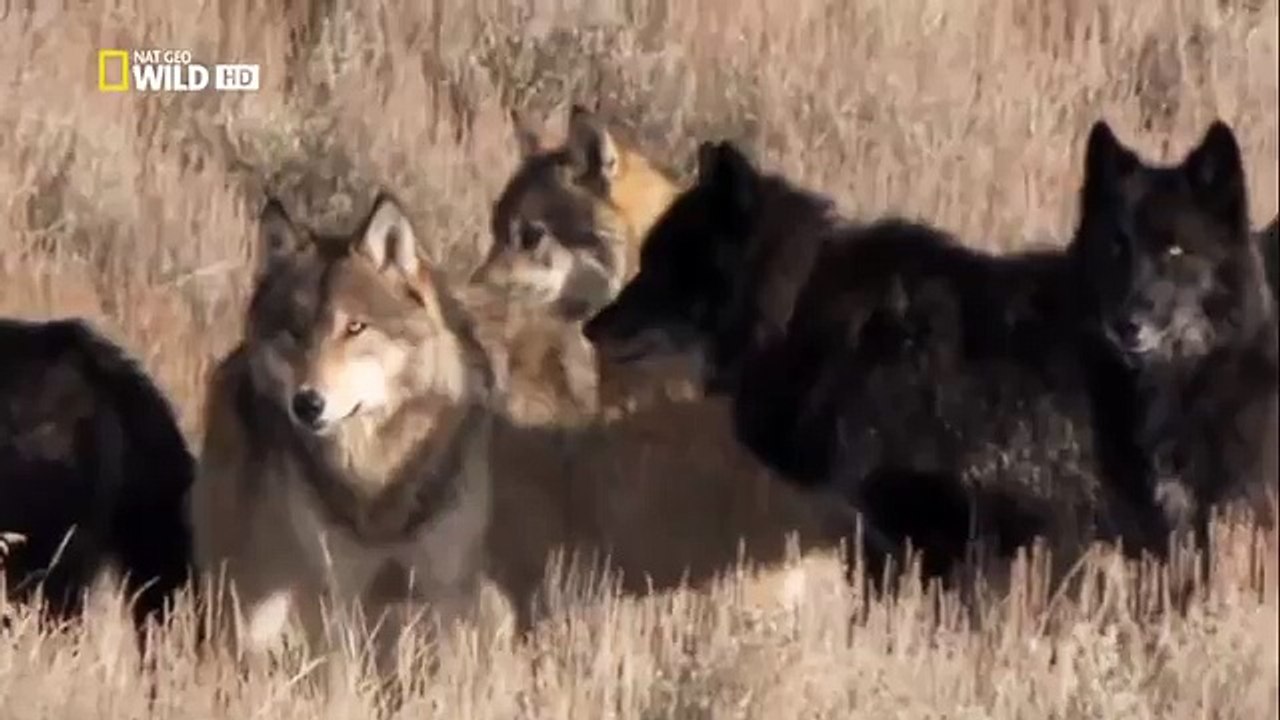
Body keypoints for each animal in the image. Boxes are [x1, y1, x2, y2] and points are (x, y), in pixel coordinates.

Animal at [189, 192, 497, 677]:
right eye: (294, 331)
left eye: (355, 327)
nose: (306, 404)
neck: (379, 476)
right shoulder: (336, 593)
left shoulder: (448, 591)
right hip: (248, 595)